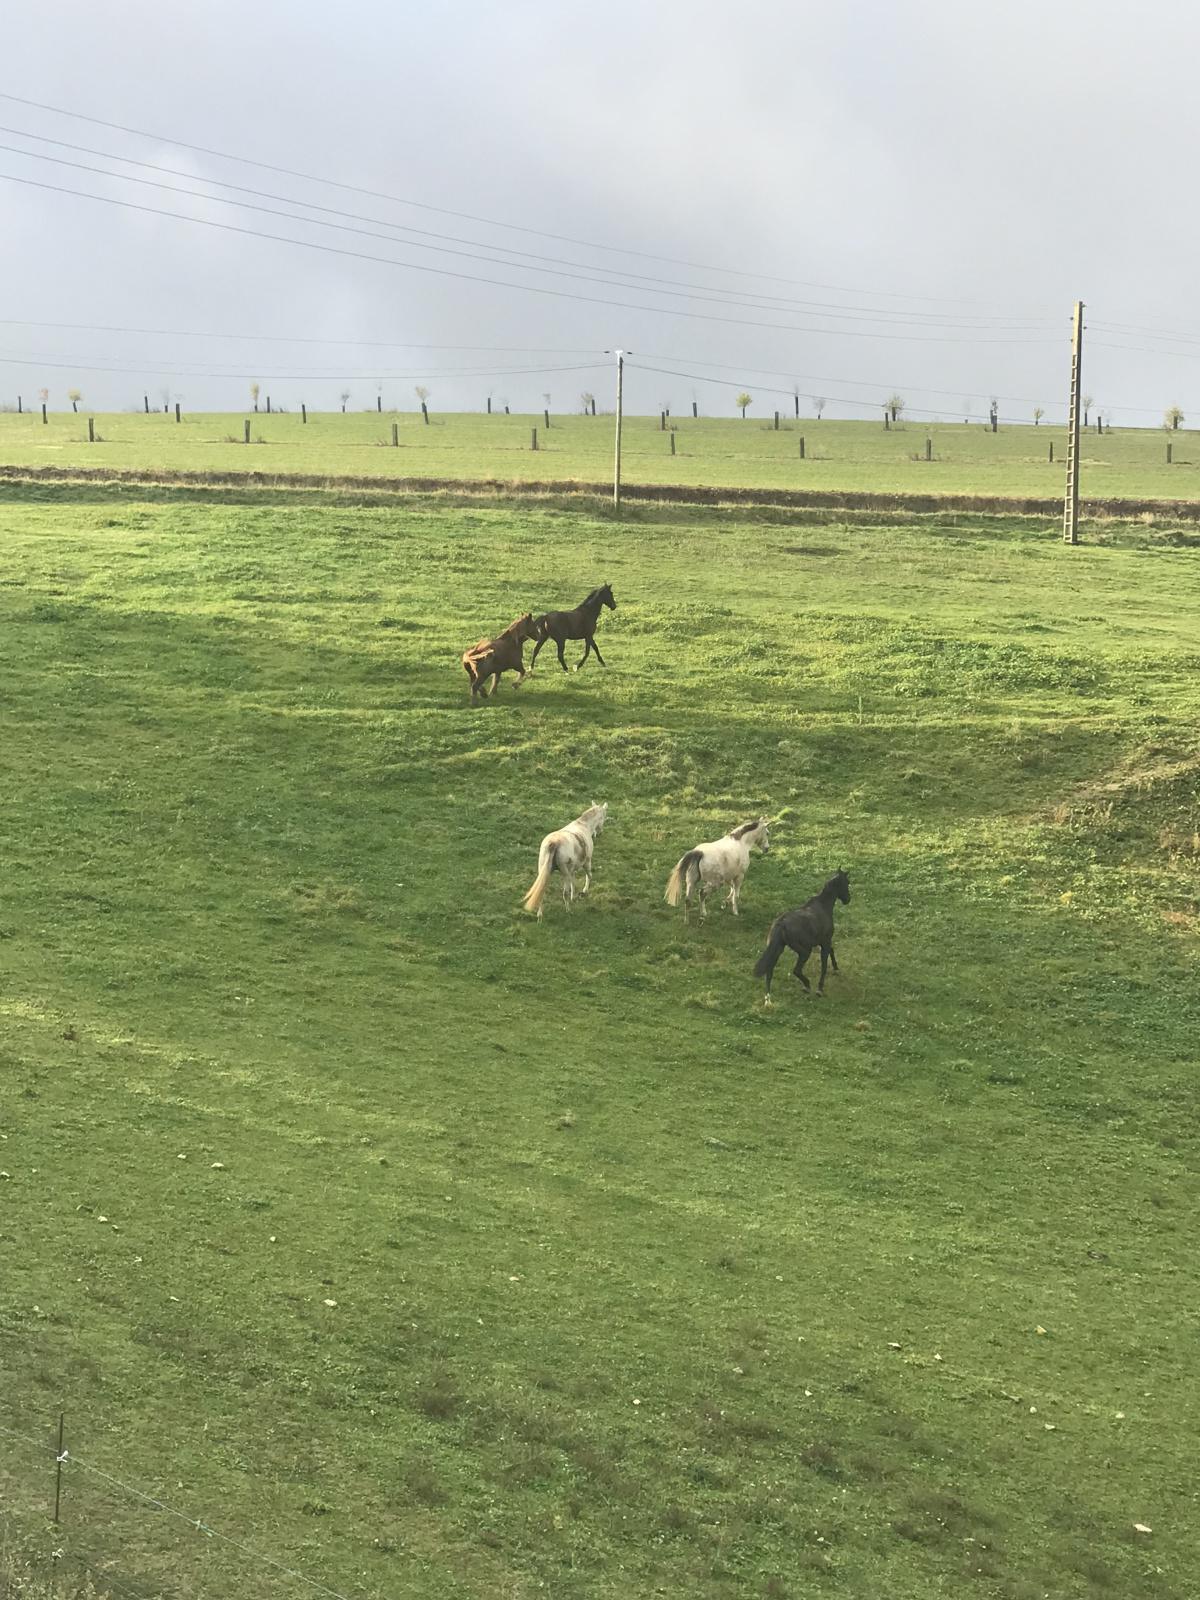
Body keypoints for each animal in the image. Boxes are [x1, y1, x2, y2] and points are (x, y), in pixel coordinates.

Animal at [755, 870, 851, 1004]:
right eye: (847, 882)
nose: (848, 899)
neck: (823, 906)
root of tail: (781, 923)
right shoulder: (825, 942)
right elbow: (824, 965)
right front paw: (820, 989)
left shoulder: (823, 942)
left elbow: (831, 951)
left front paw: (836, 969)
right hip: (804, 951)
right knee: (796, 970)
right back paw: (807, 986)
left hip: (777, 950)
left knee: (769, 971)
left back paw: (768, 998)